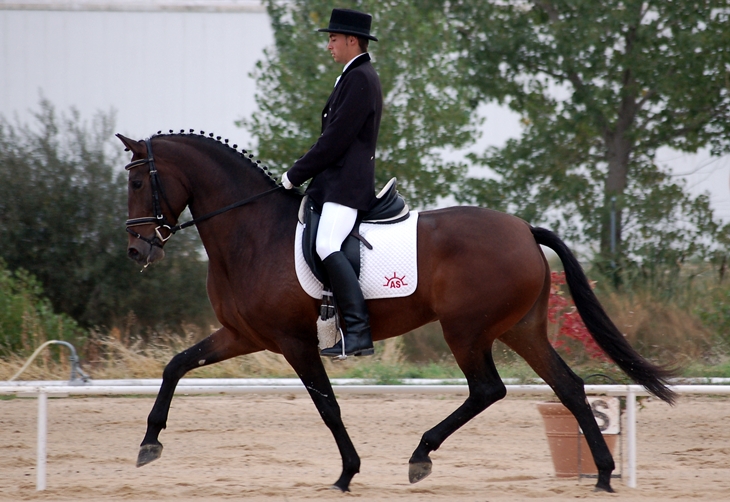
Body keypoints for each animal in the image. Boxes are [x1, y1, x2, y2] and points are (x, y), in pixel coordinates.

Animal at [117, 131, 676, 493]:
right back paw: (601, 475)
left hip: (466, 330)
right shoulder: (243, 334)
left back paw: (421, 456)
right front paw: (148, 445)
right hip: (520, 330)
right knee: (569, 388)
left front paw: (347, 473)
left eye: (139, 184)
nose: (138, 251)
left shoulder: (295, 342)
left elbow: (328, 406)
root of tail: (524, 229)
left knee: (488, 389)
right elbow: (175, 366)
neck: (252, 233)